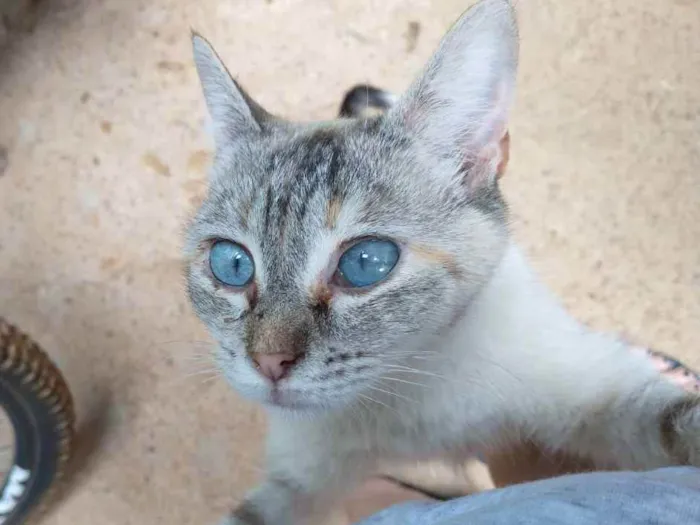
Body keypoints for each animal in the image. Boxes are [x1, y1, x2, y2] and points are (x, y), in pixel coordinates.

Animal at [182, 1, 700, 524]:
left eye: (366, 262)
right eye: (232, 264)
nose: (269, 362)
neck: (405, 383)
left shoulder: (591, 387)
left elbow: (671, 420)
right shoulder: (294, 480)